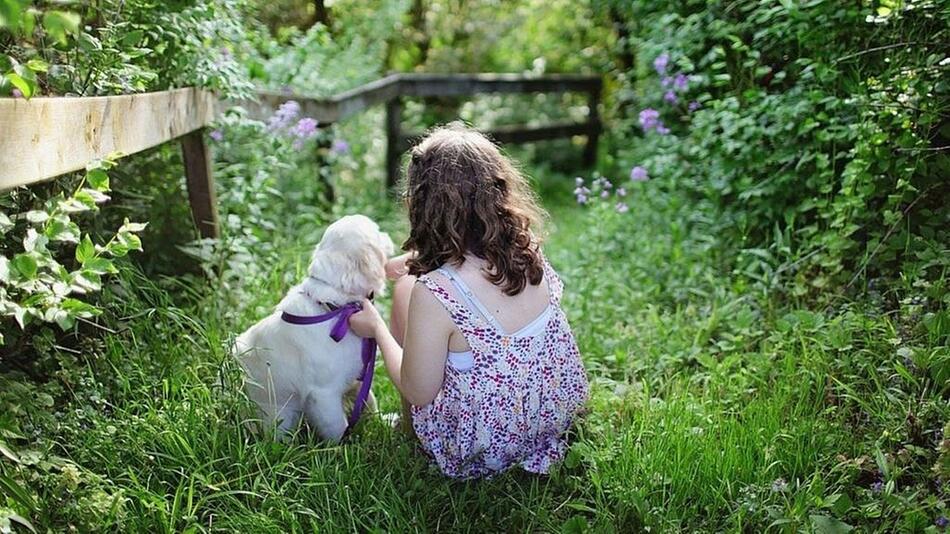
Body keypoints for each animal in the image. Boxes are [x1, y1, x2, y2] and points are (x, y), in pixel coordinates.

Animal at [236, 216, 396, 442]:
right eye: (377, 231)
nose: (388, 235)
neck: (334, 308)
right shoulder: (323, 394)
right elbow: (337, 426)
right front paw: (343, 447)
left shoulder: (357, 376)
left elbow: (369, 400)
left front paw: (384, 421)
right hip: (280, 416)